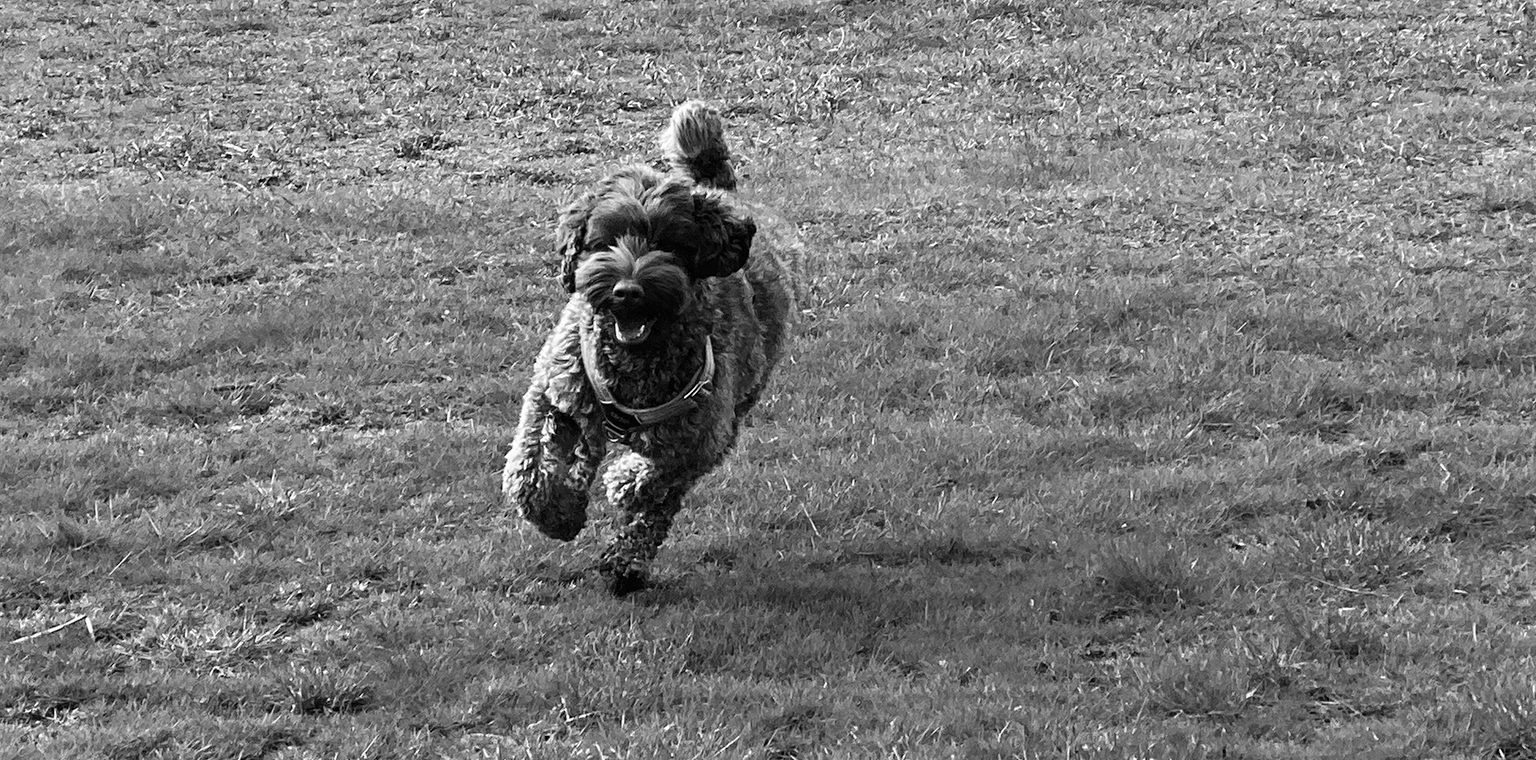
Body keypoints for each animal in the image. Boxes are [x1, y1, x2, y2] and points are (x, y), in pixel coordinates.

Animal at [500, 101, 792, 598]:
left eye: (670, 244)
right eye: (605, 240)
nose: (628, 291)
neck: (634, 362)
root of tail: (716, 191)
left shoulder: (702, 434)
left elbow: (654, 477)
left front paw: (624, 480)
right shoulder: (555, 392)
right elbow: (529, 471)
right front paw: (559, 515)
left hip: (736, 405)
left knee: (657, 508)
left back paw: (625, 563)